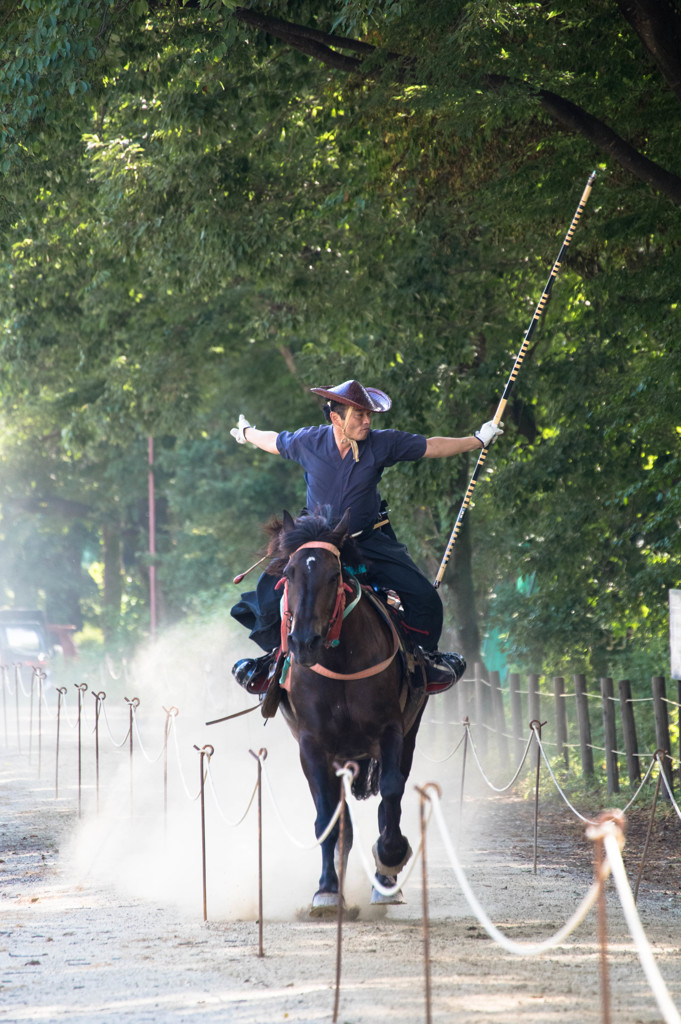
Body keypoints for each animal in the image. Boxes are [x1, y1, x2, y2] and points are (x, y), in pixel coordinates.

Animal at [264, 507, 428, 909]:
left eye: (334, 575)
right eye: (289, 572)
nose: (303, 642)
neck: (339, 660)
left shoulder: (390, 731)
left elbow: (391, 792)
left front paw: (390, 856)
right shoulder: (312, 745)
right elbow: (327, 818)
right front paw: (326, 889)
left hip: (407, 735)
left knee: (389, 797)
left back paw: (385, 879)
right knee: (342, 822)